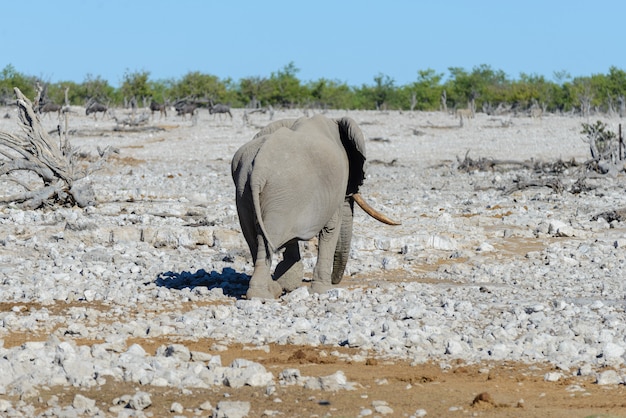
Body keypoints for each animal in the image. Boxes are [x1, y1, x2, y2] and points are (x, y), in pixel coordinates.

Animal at [230, 112, 400, 298]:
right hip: (281, 192)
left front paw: (289, 282)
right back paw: (261, 295)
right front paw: (323, 290)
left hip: (245, 191)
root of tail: (258, 172)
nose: (335, 281)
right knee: (267, 239)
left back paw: (272, 289)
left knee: (254, 238)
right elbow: (331, 229)